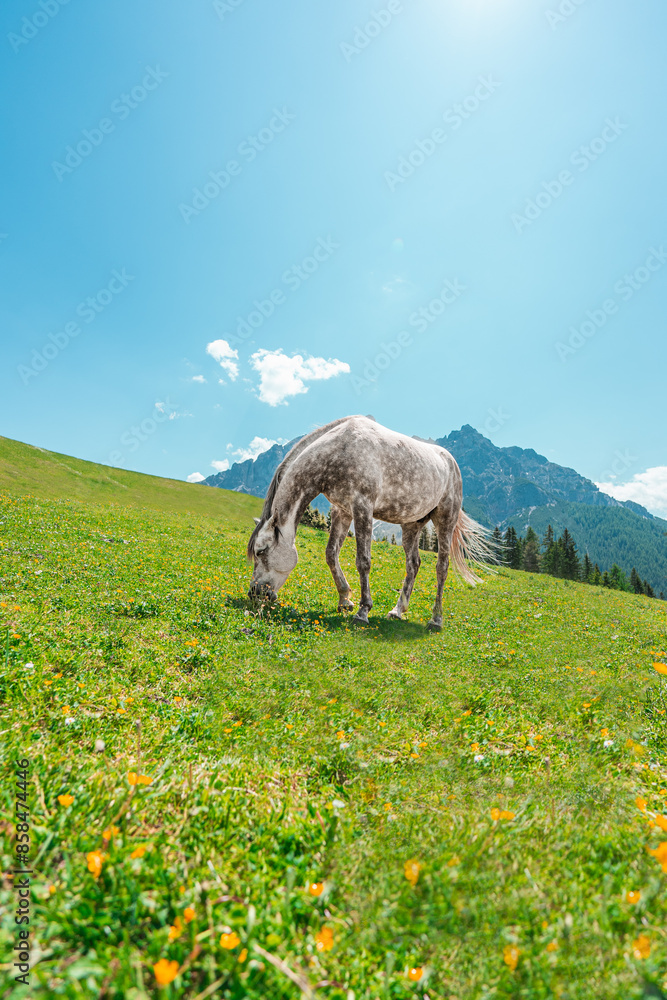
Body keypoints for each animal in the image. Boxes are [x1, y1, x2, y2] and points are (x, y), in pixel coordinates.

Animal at [247, 415, 494, 630]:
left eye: (261, 551)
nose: (255, 594)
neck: (340, 450)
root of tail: (451, 463)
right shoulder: (342, 511)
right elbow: (331, 554)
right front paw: (345, 600)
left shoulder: (362, 508)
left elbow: (363, 562)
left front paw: (363, 611)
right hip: (411, 525)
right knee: (413, 564)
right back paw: (397, 611)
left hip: (445, 520)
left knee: (441, 568)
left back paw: (436, 620)